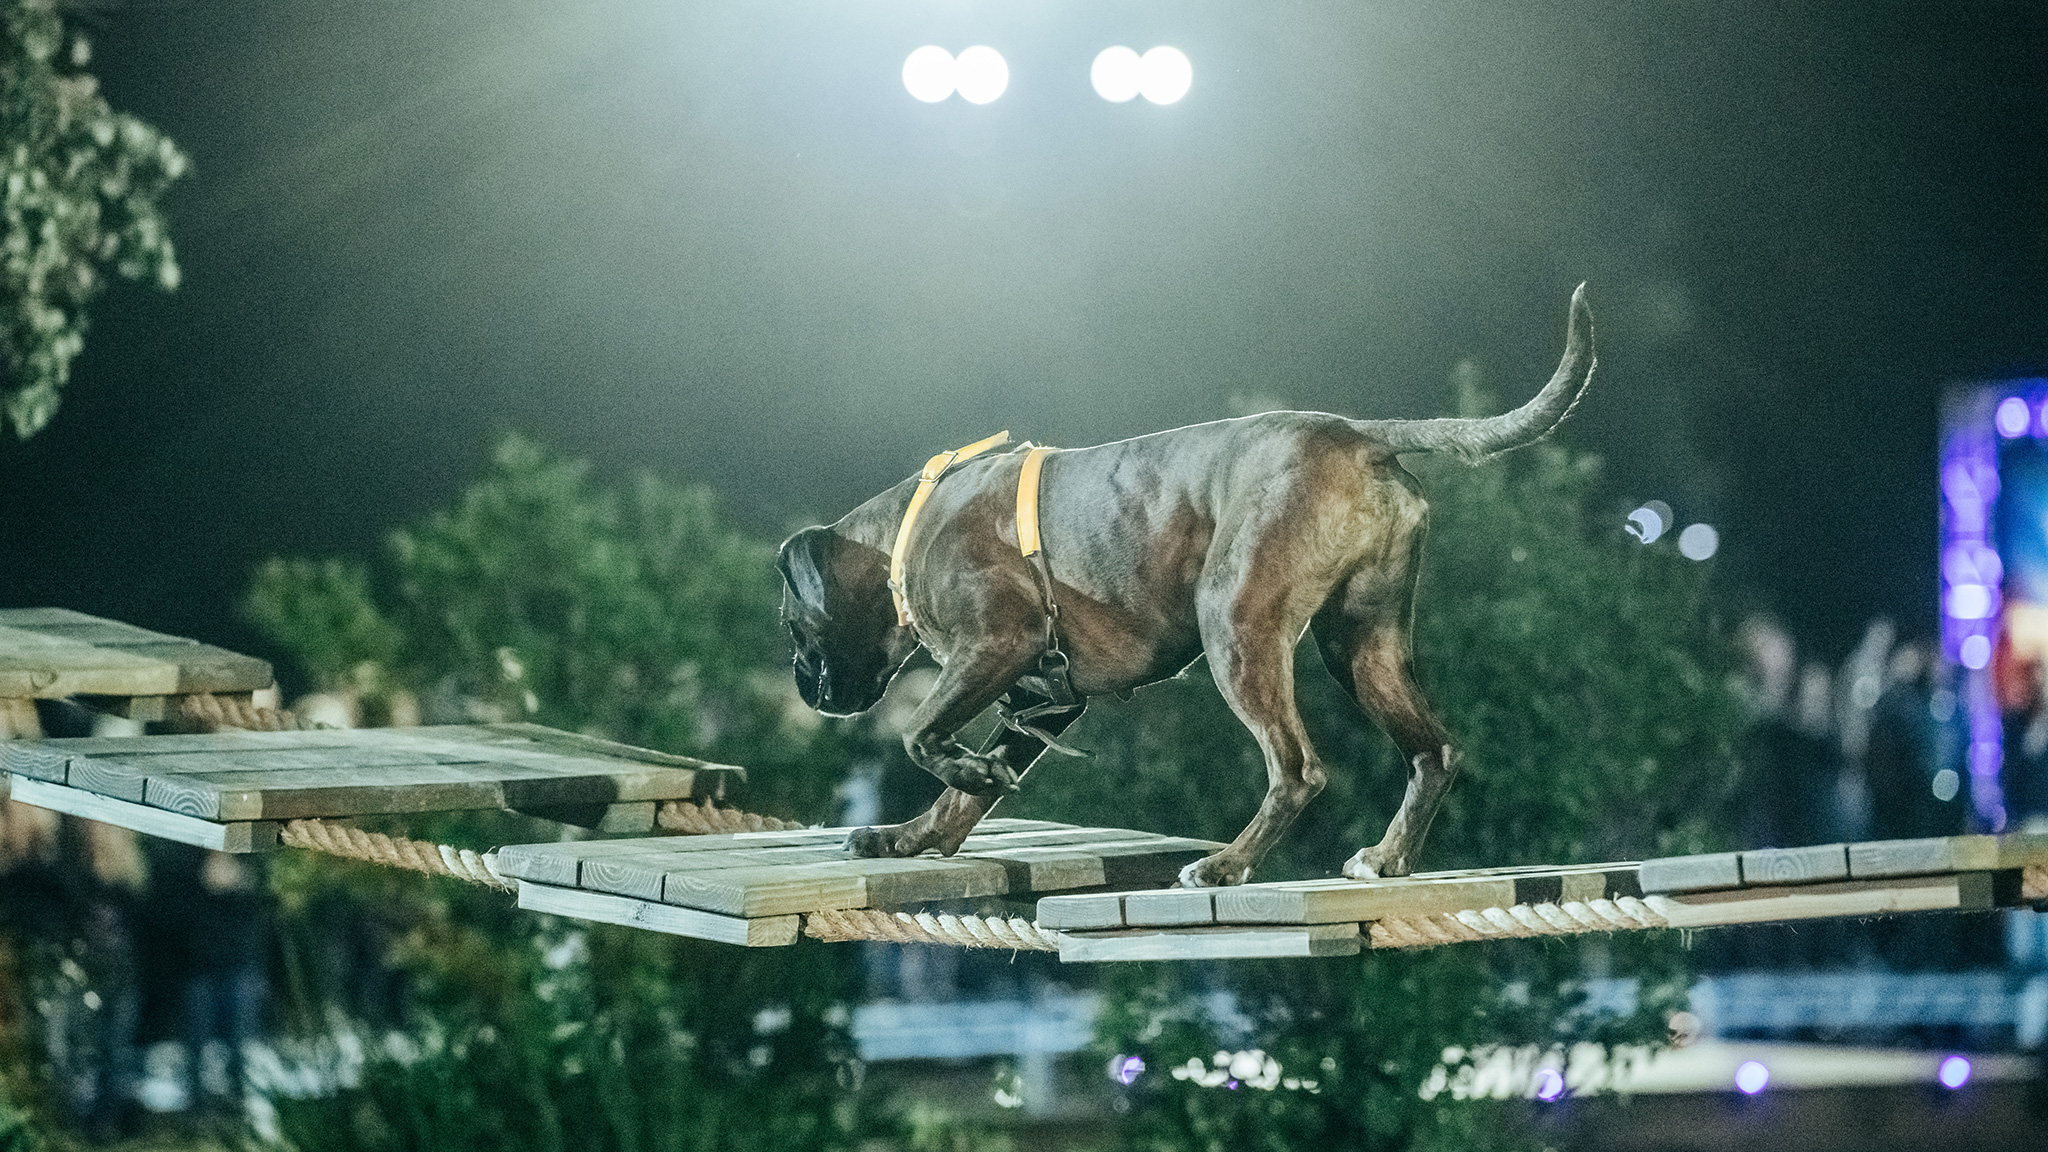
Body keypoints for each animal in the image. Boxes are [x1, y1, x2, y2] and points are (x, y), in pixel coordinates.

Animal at [774, 282, 1589, 881]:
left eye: (791, 626)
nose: (803, 686)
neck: (904, 533)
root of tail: (1360, 435)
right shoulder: (1037, 698)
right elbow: (954, 802)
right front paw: (913, 835)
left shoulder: (998, 644)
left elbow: (919, 735)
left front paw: (967, 773)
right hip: (1364, 647)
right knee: (1433, 752)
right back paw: (1387, 856)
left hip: (1237, 630)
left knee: (1298, 769)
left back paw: (1227, 864)